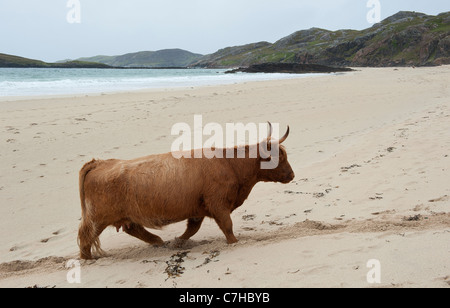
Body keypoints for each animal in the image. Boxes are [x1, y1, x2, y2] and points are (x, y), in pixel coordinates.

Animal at [77, 124, 296, 258]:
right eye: (279, 157)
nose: (292, 175)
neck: (230, 163)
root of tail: (99, 162)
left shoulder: (198, 209)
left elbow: (192, 229)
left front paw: (177, 242)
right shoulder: (218, 204)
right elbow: (227, 225)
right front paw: (234, 242)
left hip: (127, 214)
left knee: (133, 228)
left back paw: (158, 241)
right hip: (98, 217)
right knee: (86, 236)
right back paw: (88, 259)